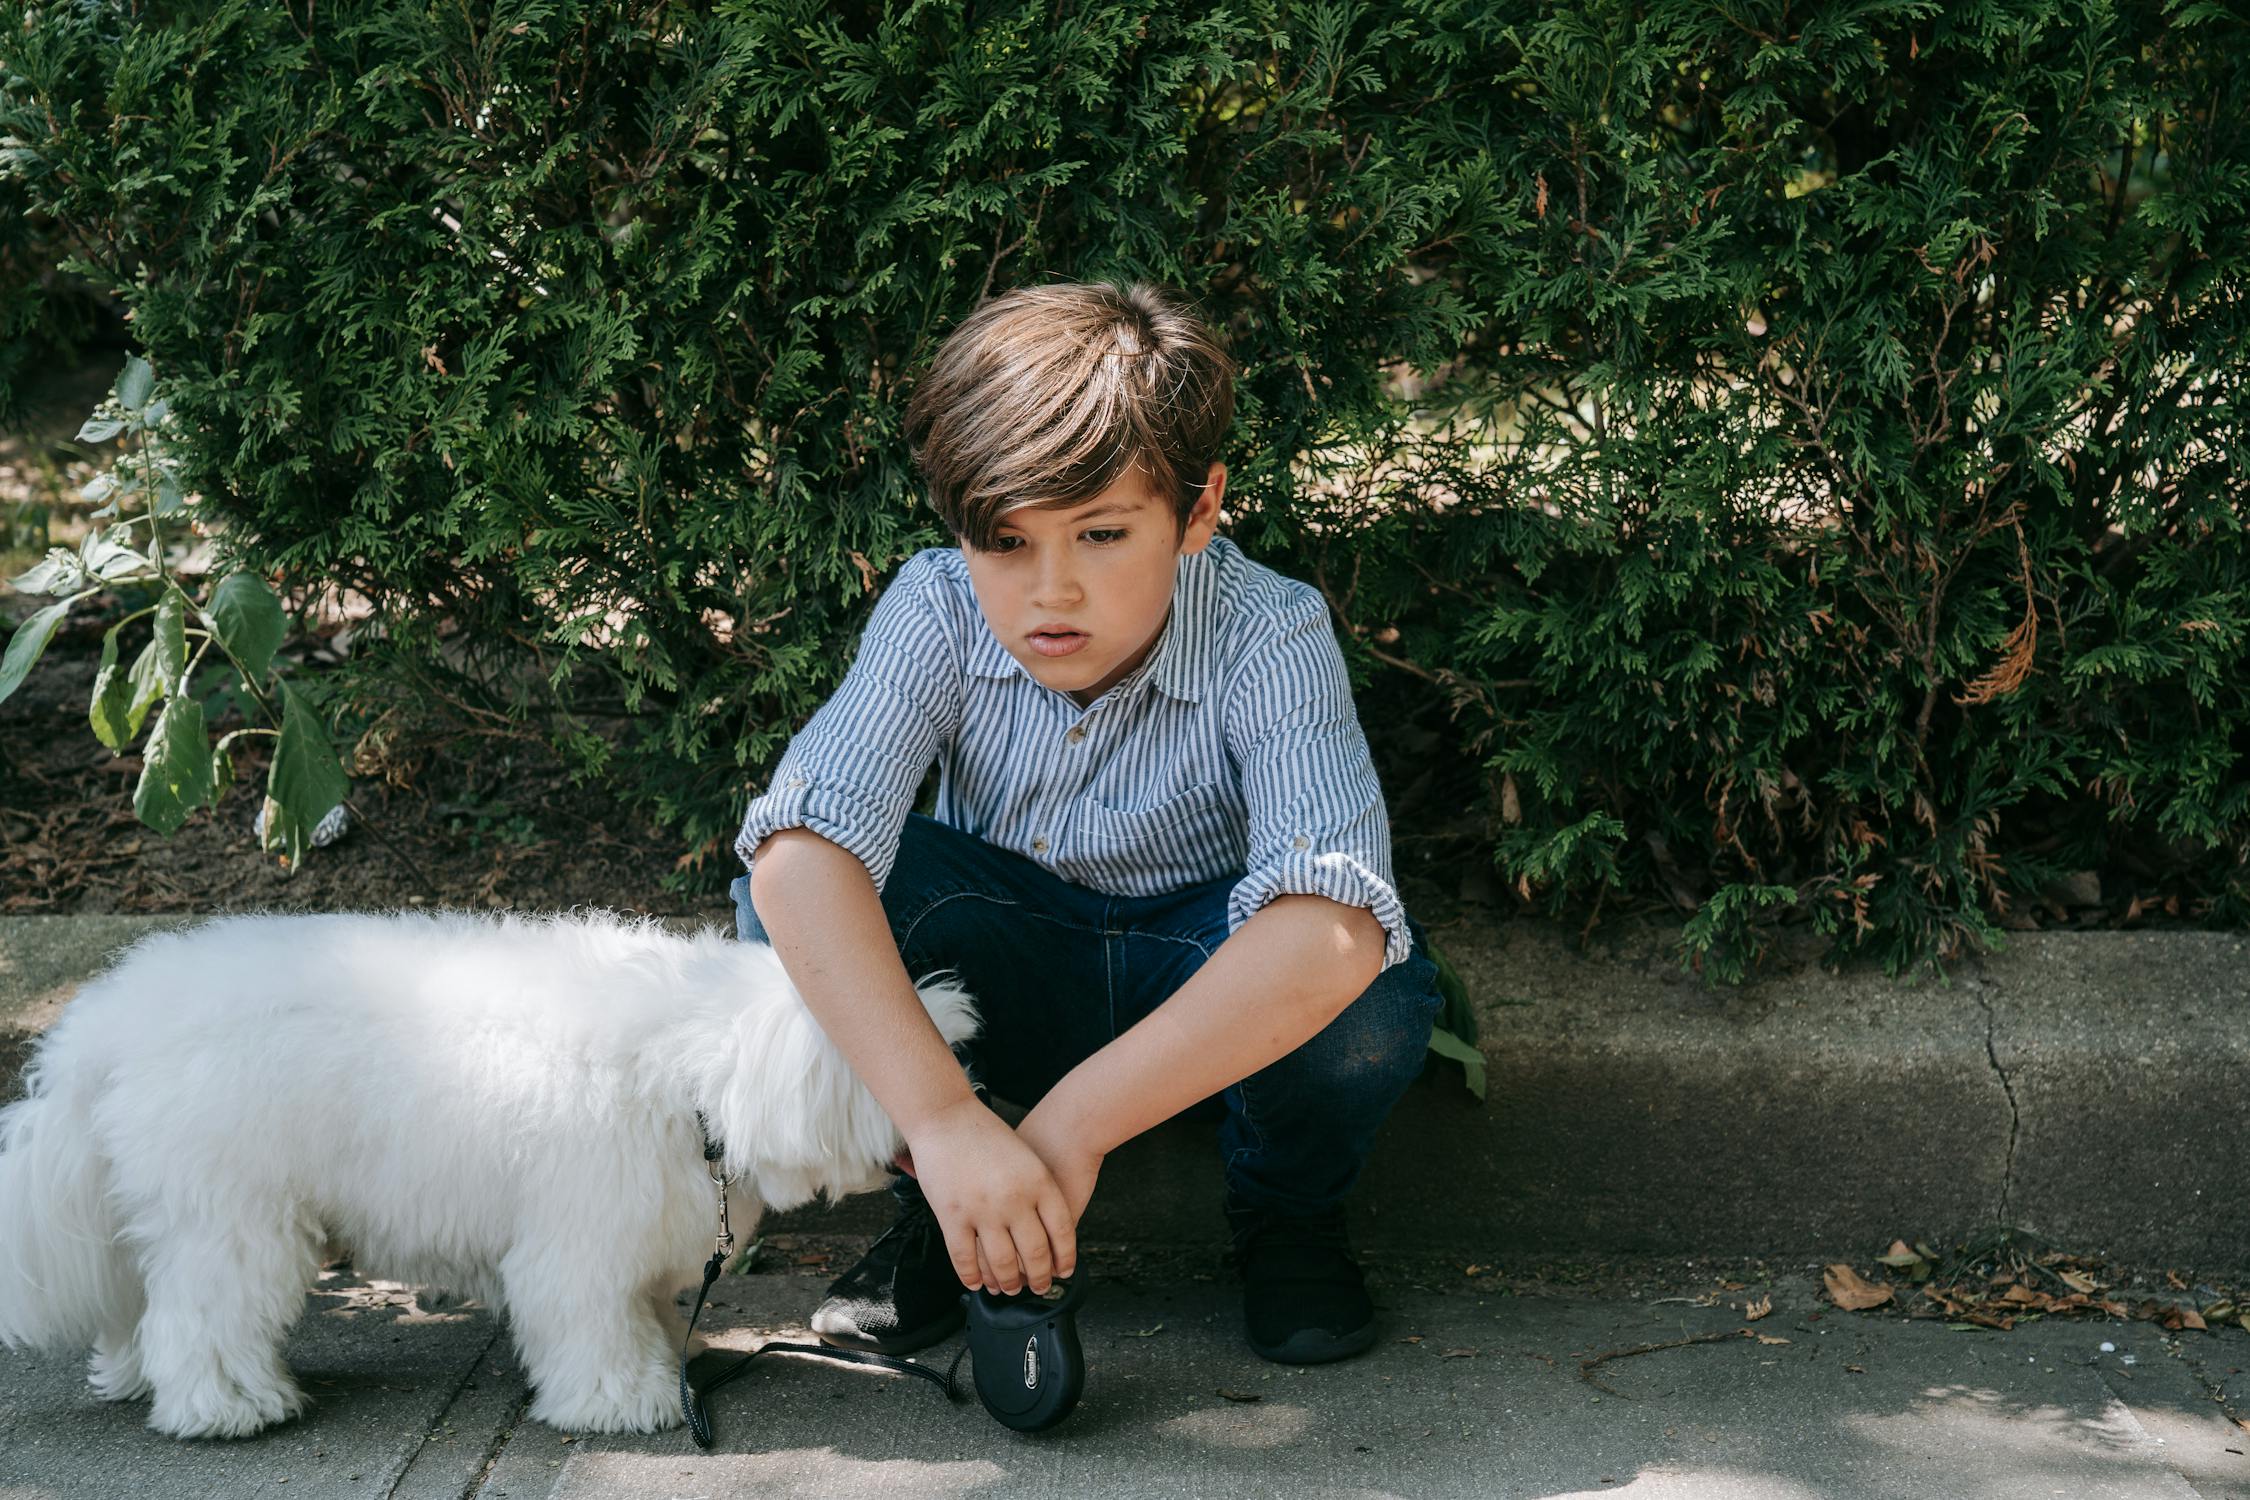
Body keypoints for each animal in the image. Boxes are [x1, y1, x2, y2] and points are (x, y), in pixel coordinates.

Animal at [0, 904, 976, 1439]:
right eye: (887, 1054)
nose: (965, 1087)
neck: (690, 1070)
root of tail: (102, 1027)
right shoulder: (578, 1243)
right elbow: (589, 1327)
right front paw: (624, 1398)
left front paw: (668, 1353)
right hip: (231, 1221)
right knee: (201, 1321)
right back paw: (228, 1406)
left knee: (144, 1306)